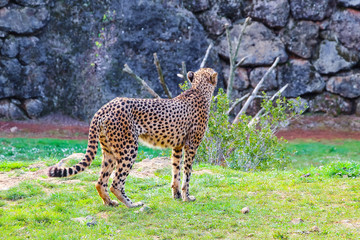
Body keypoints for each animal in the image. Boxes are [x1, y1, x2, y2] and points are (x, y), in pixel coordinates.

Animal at [47, 68, 217, 208]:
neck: (199, 90)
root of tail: (105, 106)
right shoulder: (191, 145)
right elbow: (187, 173)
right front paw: (187, 197)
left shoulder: (177, 146)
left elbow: (176, 171)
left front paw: (177, 195)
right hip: (129, 148)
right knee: (116, 183)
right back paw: (132, 204)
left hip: (109, 151)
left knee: (100, 181)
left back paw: (110, 202)